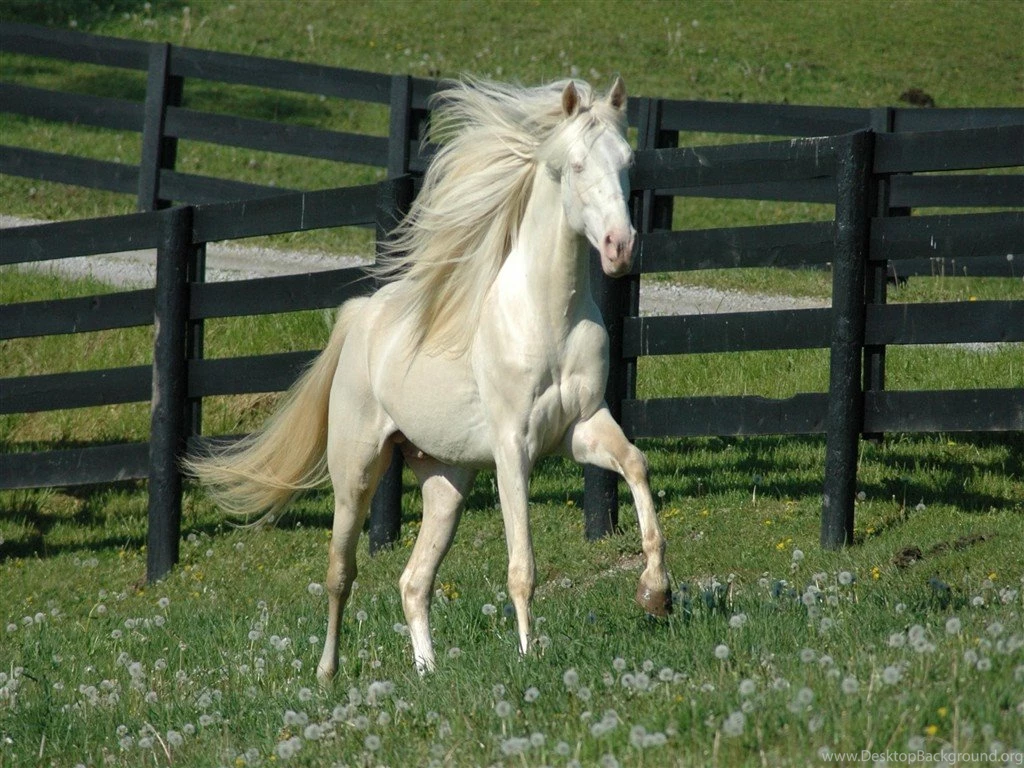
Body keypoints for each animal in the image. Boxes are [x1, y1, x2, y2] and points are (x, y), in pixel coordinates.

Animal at [184, 76, 672, 681]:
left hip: (446, 483)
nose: (620, 248)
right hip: (356, 476)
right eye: (577, 164)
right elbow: (522, 564)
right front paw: (529, 653)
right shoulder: (514, 448)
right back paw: (327, 672)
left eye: (627, 162)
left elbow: (635, 464)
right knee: (340, 575)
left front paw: (656, 593)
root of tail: (360, 319)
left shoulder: (581, 428)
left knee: (413, 581)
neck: (546, 317)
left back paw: (428, 671)